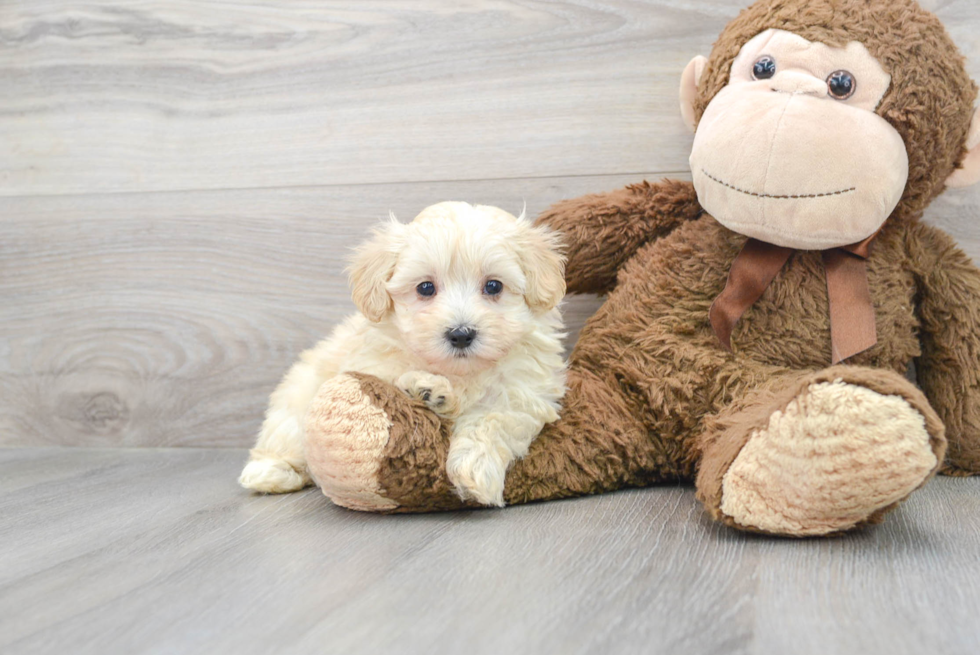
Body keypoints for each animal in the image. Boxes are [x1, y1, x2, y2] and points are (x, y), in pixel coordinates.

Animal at [236, 200, 568, 508]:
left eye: (494, 286)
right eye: (425, 288)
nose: (461, 334)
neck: (460, 371)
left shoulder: (524, 393)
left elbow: (494, 420)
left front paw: (475, 471)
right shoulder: (371, 364)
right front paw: (428, 390)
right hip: (297, 399)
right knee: (284, 436)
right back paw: (271, 473)